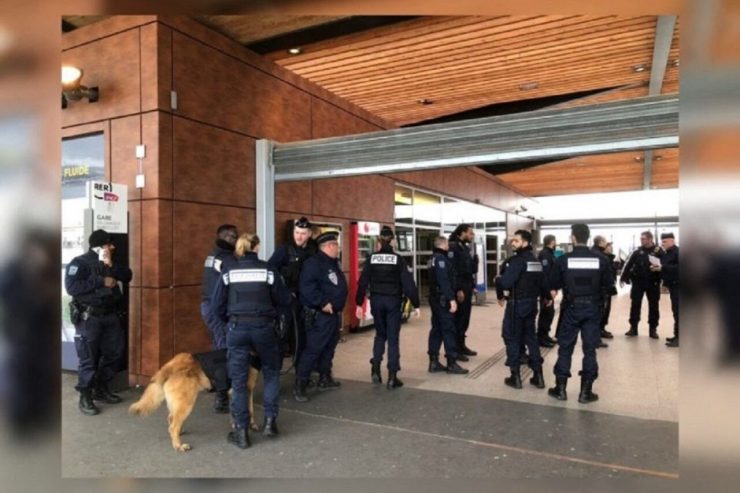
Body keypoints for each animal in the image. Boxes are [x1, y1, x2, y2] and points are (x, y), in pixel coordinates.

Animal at [129, 352, 260, 452]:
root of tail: (172, 365)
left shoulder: (236, 391)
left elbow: (239, 411)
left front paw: (239, 425)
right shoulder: (245, 389)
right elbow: (249, 410)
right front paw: (249, 425)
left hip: (179, 404)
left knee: (171, 419)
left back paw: (178, 434)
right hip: (187, 404)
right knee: (173, 426)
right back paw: (178, 445)